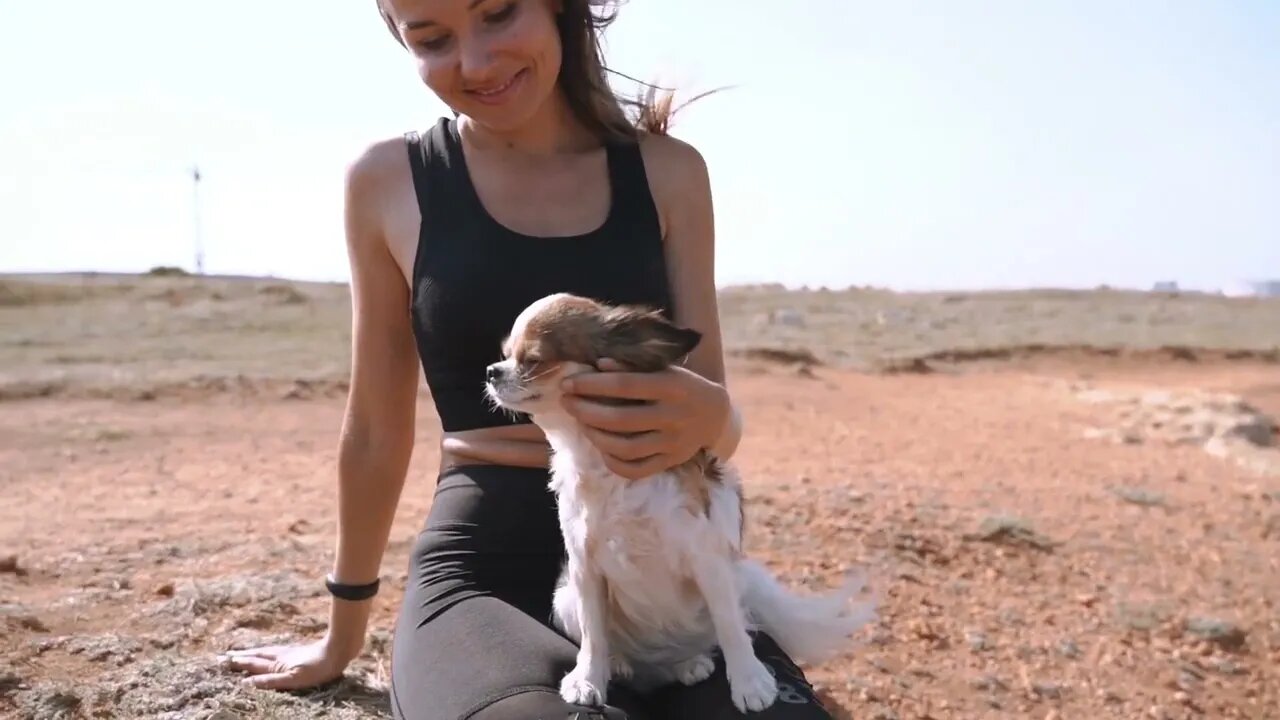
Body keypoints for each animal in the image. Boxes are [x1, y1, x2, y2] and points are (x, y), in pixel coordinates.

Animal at [483, 292, 875, 712]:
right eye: (505, 354)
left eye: (533, 360)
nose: (492, 371)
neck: (603, 464)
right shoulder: (585, 569)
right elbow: (593, 634)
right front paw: (588, 678)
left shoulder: (708, 561)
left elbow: (730, 626)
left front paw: (749, 681)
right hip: (565, 598)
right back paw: (622, 663)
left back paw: (689, 663)